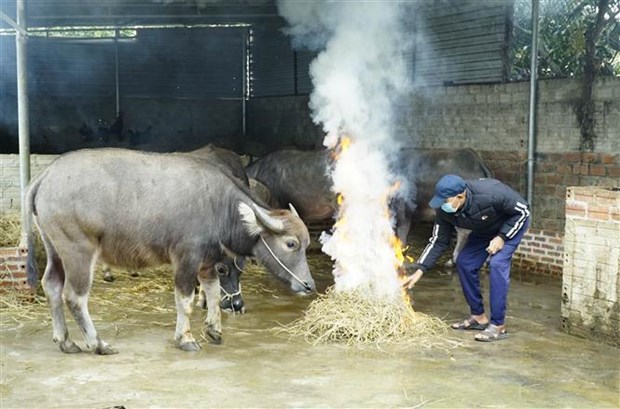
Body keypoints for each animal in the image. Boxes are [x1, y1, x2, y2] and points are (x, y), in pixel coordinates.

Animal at [25, 147, 314, 354]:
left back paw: (65, 341)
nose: (308, 285)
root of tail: (46, 176)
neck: (218, 206)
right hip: (78, 250)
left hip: (55, 249)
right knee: (74, 296)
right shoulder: (186, 258)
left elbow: (211, 292)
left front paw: (214, 330)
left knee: (51, 285)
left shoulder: (206, 263)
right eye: (291, 243)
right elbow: (184, 301)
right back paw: (98, 344)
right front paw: (185, 339)